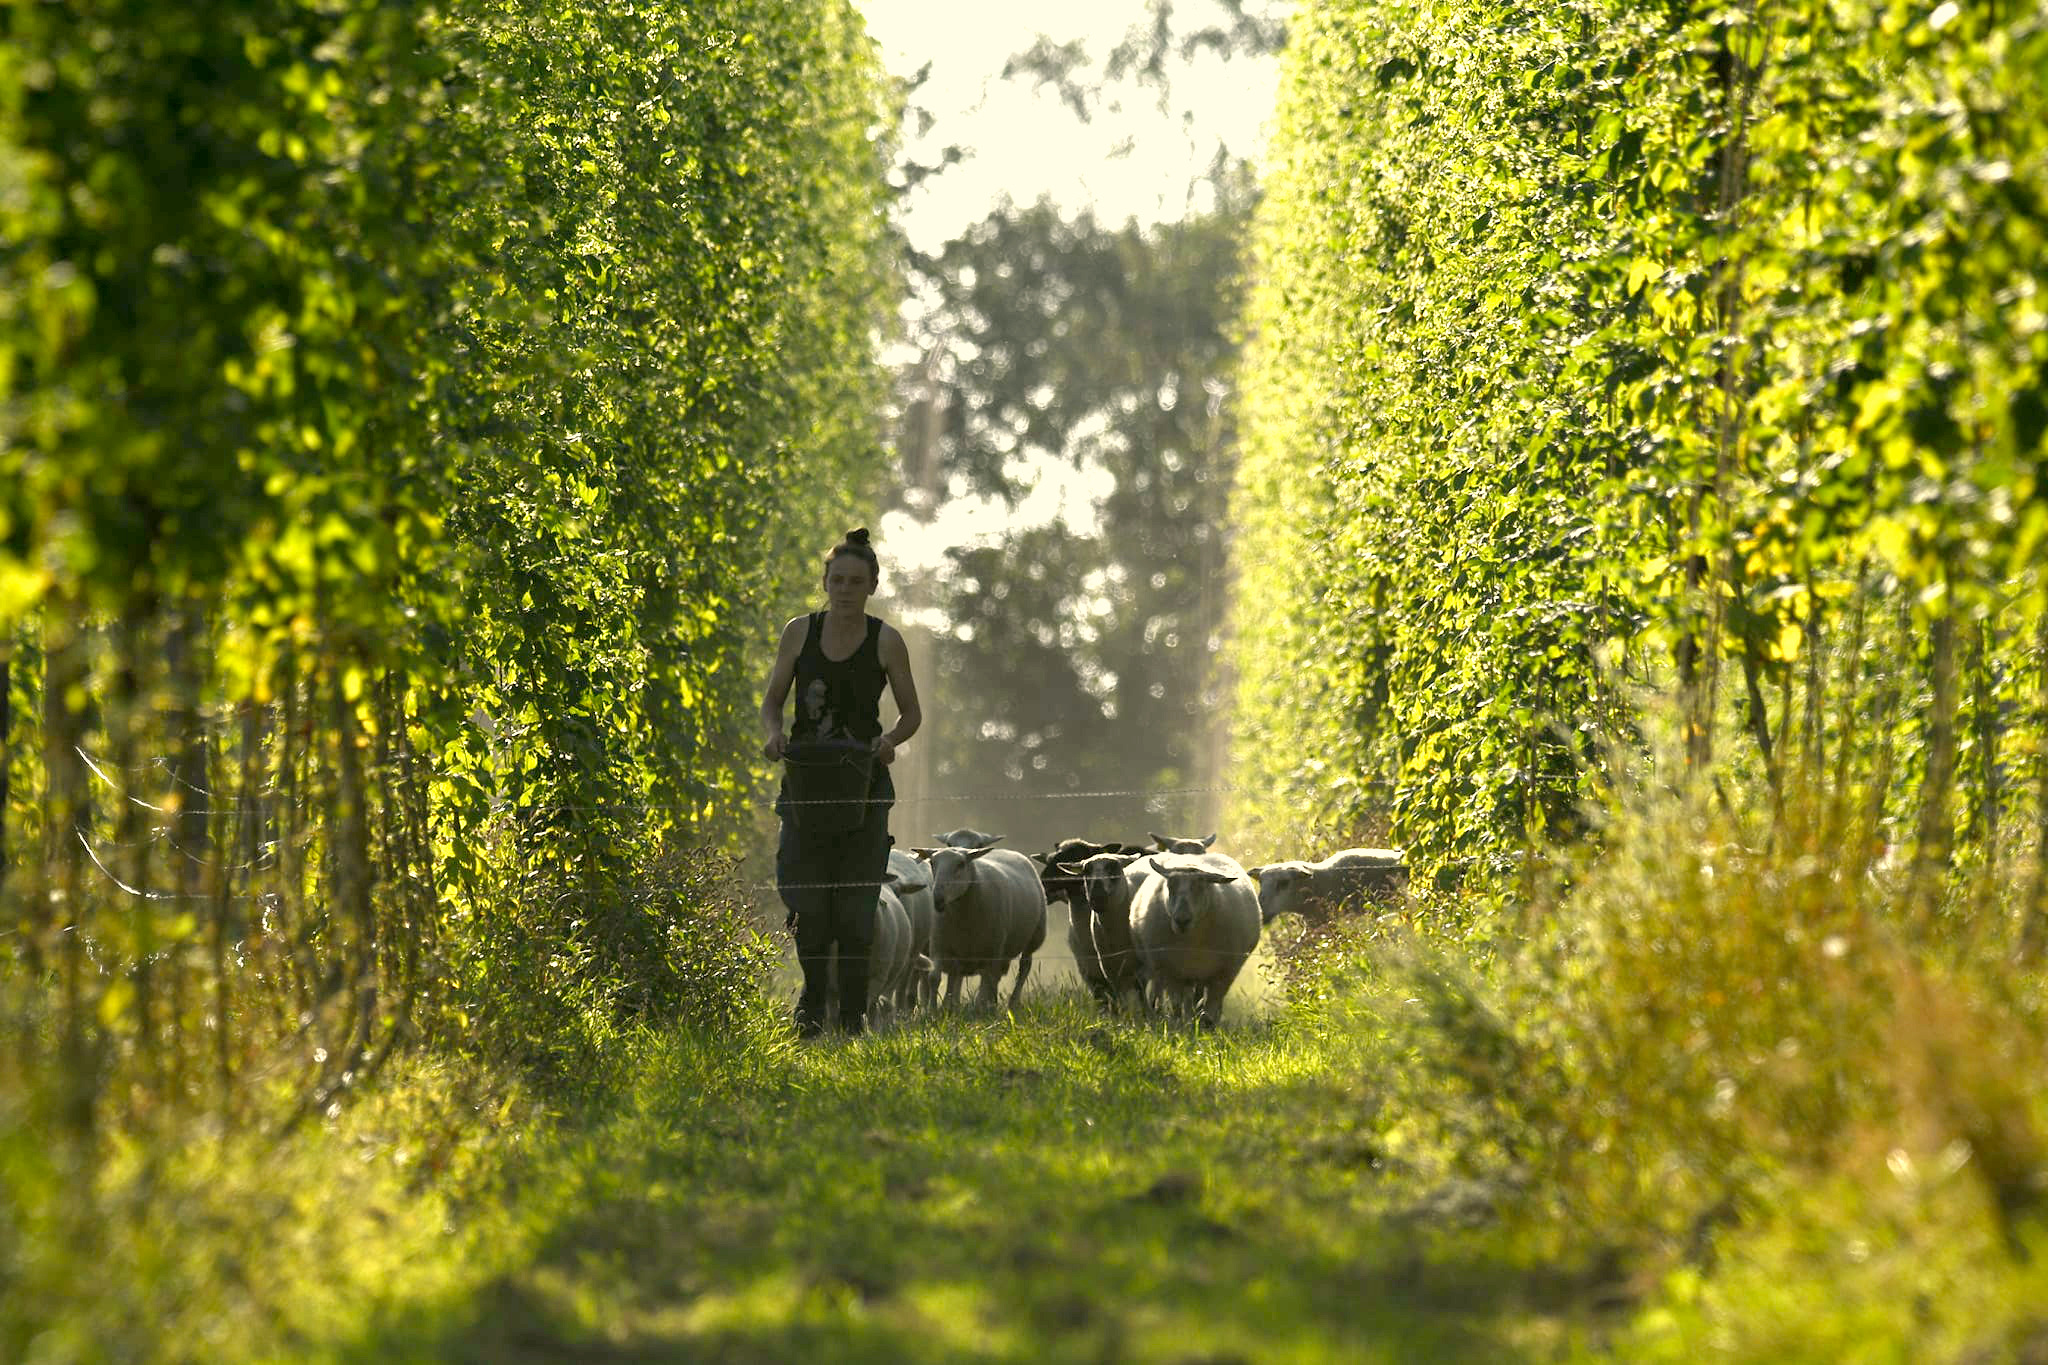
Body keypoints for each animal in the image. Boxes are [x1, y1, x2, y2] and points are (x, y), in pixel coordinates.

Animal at [917, 843, 1048, 1010]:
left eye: (961, 864)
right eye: (932, 863)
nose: (938, 899)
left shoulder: (993, 951)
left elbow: (987, 982)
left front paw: (982, 1008)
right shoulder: (939, 947)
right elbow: (934, 978)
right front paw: (933, 1011)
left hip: (1033, 938)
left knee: (1023, 968)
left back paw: (1011, 1003)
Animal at [1128, 852, 1261, 1027]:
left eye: (1200, 887)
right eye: (1170, 886)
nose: (1181, 920)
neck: (1192, 939)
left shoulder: (1224, 973)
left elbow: (1210, 1008)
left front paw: (1206, 1025)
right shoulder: (1172, 971)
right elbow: (1177, 1007)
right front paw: (1180, 1026)